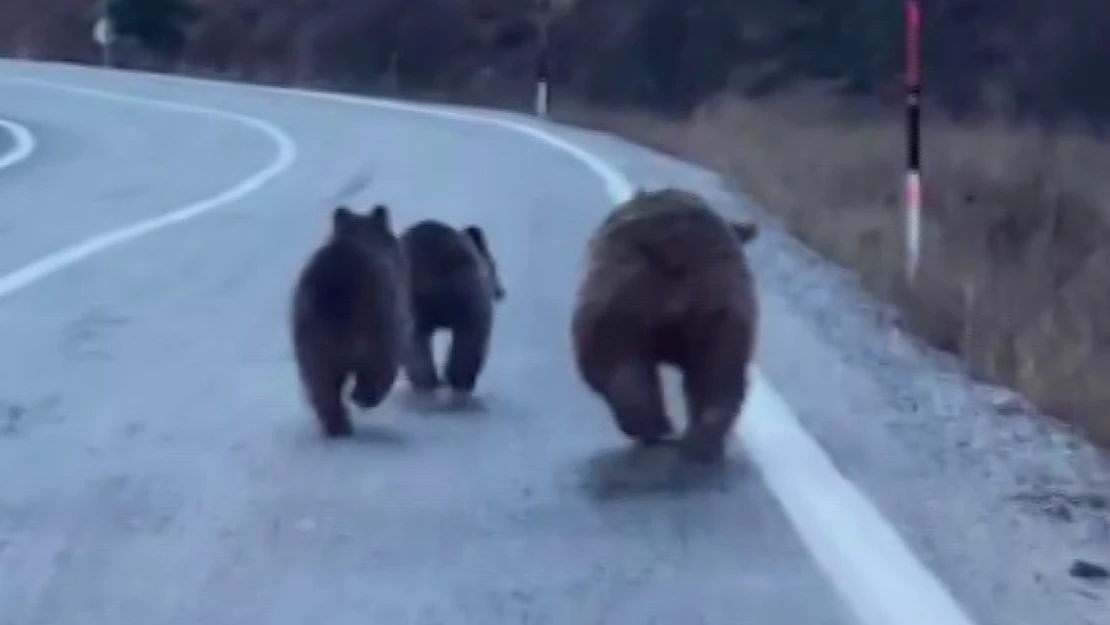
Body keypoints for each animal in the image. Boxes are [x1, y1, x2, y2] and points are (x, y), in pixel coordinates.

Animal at [290, 203, 412, 437]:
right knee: (379, 362)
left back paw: (338, 425)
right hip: (374, 319)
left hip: (309, 335)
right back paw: (362, 398)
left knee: (320, 386)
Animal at [399, 217, 503, 399]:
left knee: (415, 342)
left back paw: (430, 381)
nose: (502, 292)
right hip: (464, 288)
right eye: (496, 265)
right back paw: (457, 379)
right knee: (470, 335)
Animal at [568, 188, 759, 461]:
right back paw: (701, 440)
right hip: (721, 303)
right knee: (719, 372)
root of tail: (675, 244)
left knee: (613, 360)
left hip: (621, 293)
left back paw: (654, 428)